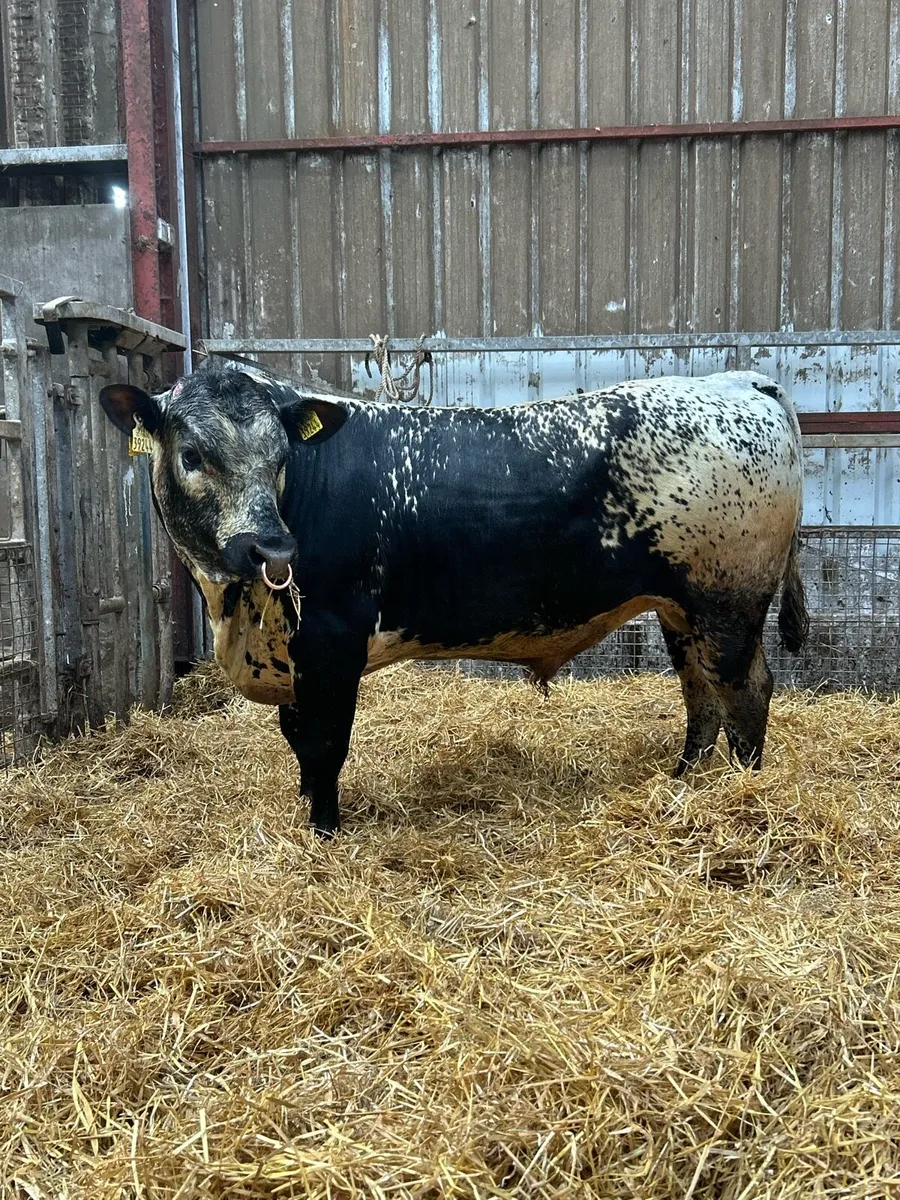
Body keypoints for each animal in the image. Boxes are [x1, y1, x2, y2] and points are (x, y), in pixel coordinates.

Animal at [99, 362, 808, 836]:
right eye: (192, 454)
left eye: (279, 455)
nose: (269, 548)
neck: (238, 610)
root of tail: (740, 381)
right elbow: (298, 737)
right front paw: (306, 806)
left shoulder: (331, 642)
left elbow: (324, 742)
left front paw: (324, 829)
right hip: (681, 610)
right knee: (699, 693)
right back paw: (685, 780)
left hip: (727, 601)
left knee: (745, 690)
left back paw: (743, 790)